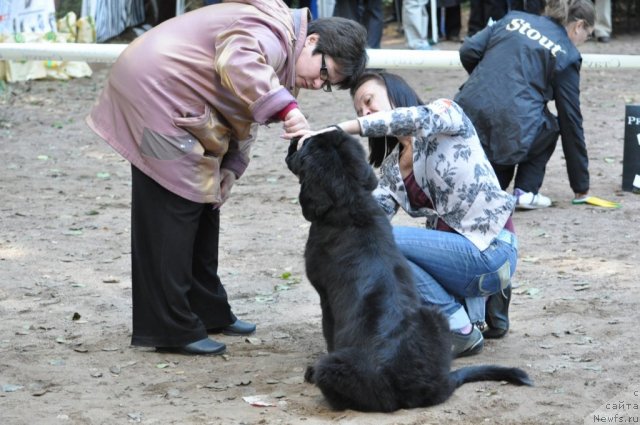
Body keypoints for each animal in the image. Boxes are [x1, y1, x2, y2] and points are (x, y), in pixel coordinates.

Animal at [284, 128, 528, 410]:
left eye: (306, 146)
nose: (295, 139)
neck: (351, 202)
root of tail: (426, 385)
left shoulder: (325, 298)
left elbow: (329, 333)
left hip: (335, 369)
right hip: (436, 318)